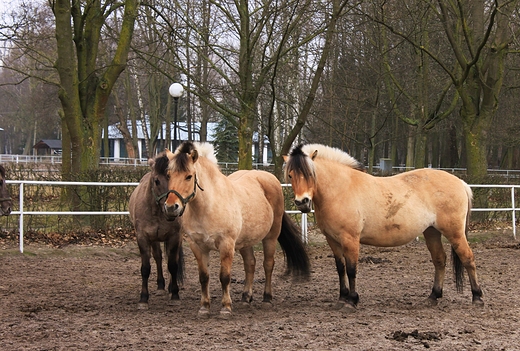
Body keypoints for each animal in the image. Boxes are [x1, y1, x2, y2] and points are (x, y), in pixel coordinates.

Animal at [129, 153, 185, 310]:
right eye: (157, 181)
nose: (171, 208)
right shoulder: (143, 238)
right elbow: (145, 268)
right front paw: (143, 299)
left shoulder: (174, 237)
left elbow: (173, 265)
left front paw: (175, 295)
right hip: (154, 240)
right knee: (158, 257)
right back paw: (160, 286)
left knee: (171, 260)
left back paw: (170, 287)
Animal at [162, 142, 308, 318]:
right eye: (168, 175)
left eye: (189, 176)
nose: (171, 207)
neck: (208, 207)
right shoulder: (197, 246)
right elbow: (204, 277)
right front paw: (204, 307)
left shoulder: (226, 245)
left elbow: (224, 277)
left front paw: (226, 307)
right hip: (245, 241)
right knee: (250, 264)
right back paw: (246, 297)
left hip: (271, 237)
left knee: (268, 264)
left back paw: (267, 298)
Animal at [284, 144, 484, 310]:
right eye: (291, 175)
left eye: (310, 174)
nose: (302, 202)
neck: (340, 189)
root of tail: (461, 183)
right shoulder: (332, 240)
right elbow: (340, 269)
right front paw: (342, 298)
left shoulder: (350, 239)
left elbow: (351, 269)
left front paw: (351, 301)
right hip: (431, 232)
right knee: (439, 260)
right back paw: (433, 296)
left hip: (454, 233)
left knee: (468, 258)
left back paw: (477, 297)